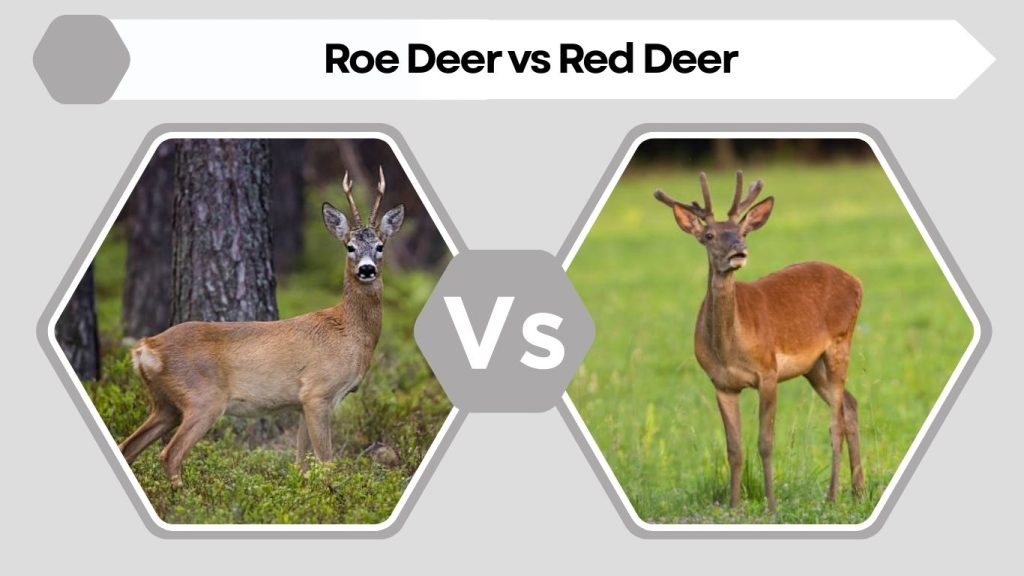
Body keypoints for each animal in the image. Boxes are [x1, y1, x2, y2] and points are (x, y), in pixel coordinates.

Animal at [117, 168, 404, 487]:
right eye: (350, 247)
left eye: (380, 246)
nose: (367, 269)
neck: (349, 333)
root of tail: (145, 349)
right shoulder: (318, 392)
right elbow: (327, 462)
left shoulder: (302, 402)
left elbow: (300, 465)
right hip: (202, 398)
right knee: (170, 453)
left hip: (165, 404)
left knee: (128, 446)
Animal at [653, 171, 864, 511]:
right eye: (709, 235)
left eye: (742, 232)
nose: (738, 250)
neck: (729, 348)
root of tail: (856, 281)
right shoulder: (721, 383)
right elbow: (734, 448)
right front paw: (733, 505)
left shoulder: (768, 371)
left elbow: (765, 442)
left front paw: (771, 504)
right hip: (812, 366)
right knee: (850, 404)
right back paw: (858, 490)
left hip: (840, 342)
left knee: (836, 423)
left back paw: (833, 495)